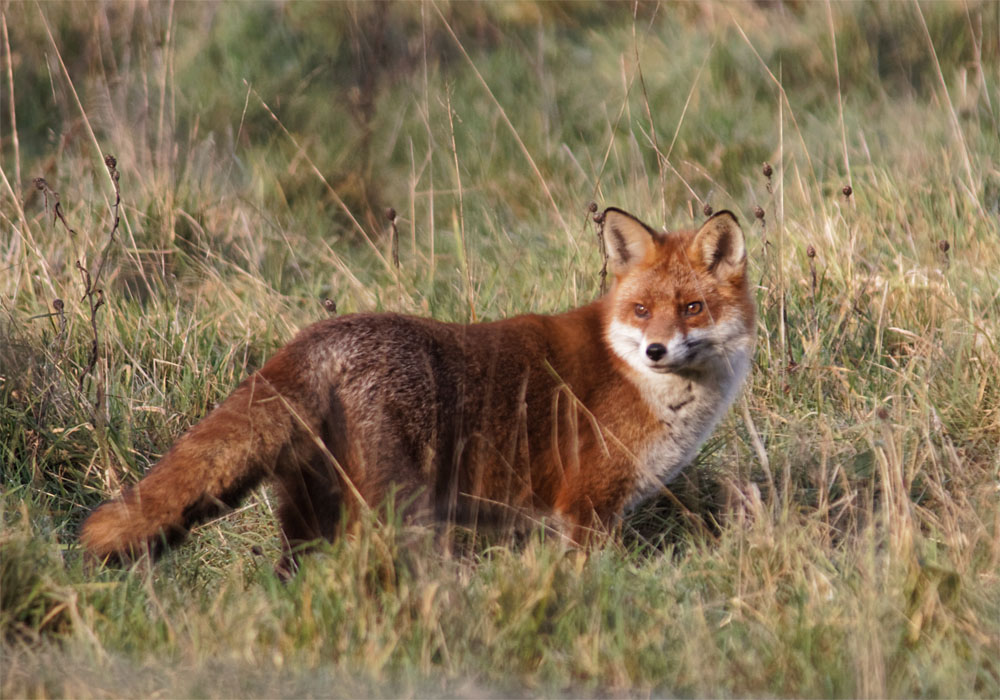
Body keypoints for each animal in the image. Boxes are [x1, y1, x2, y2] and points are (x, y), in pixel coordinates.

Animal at [80, 207, 755, 565]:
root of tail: (313, 336)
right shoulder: (583, 511)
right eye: (641, 310)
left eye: (692, 308)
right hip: (390, 512)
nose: (657, 350)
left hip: (313, 518)